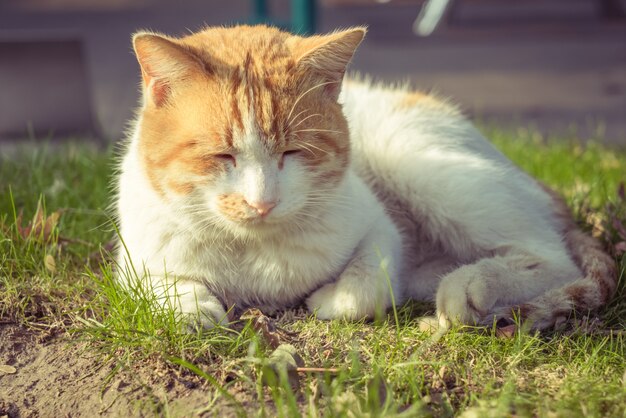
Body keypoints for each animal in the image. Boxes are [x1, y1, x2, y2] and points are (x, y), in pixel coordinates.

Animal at [113, 24, 616, 332]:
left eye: (294, 152)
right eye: (221, 155)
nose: (262, 203)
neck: (255, 251)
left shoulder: (379, 229)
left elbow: (364, 287)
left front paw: (324, 300)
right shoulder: (135, 261)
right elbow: (169, 289)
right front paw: (195, 309)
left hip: (422, 167)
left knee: (550, 258)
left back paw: (470, 286)